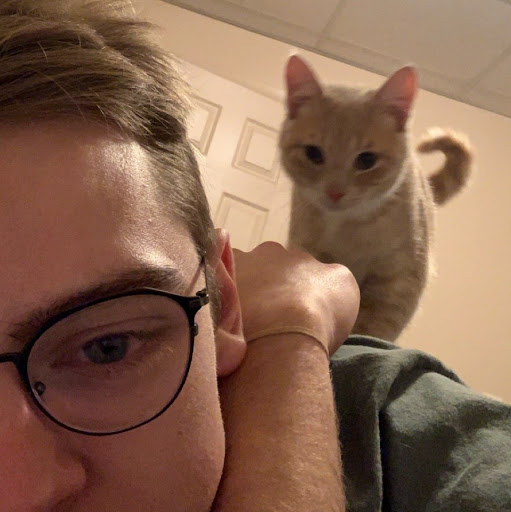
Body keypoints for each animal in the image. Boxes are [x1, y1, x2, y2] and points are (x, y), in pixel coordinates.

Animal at [279, 55, 473, 342]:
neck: (347, 229)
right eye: (313, 153)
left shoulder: (400, 279)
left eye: (367, 160)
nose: (335, 192)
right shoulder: (308, 251)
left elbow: (375, 327)